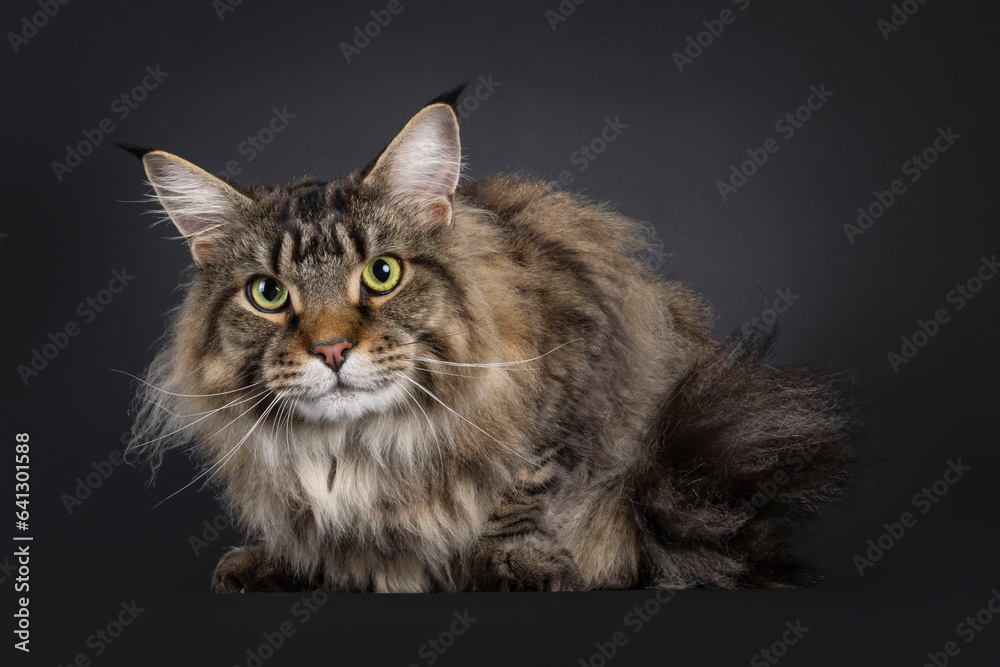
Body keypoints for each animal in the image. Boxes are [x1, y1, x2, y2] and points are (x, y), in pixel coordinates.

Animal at [119, 90, 852, 596]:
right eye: (268, 293)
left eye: (382, 274)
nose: (330, 350)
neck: (356, 445)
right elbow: (299, 517)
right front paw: (287, 560)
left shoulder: (579, 362)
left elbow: (527, 483)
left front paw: (509, 562)